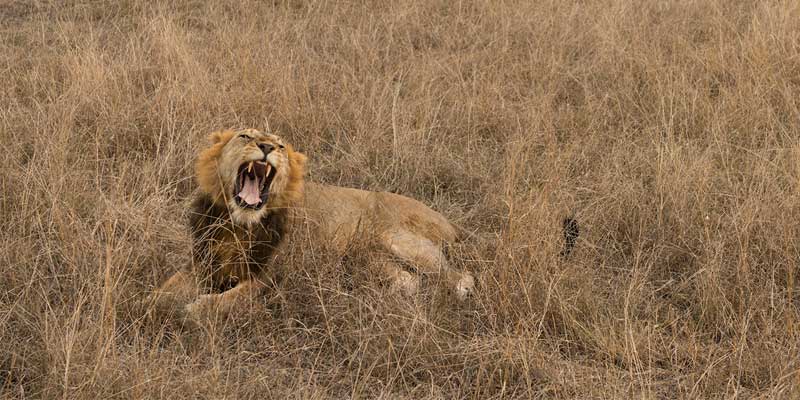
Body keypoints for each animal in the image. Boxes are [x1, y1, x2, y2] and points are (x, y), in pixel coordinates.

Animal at [151, 128, 476, 320]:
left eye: (280, 145)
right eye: (245, 136)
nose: (266, 146)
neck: (240, 224)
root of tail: (450, 223)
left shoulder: (268, 279)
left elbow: (228, 299)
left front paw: (196, 308)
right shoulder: (202, 264)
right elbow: (166, 290)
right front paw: (152, 306)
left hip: (395, 238)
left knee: (460, 275)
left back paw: (460, 293)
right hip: (367, 257)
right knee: (409, 281)